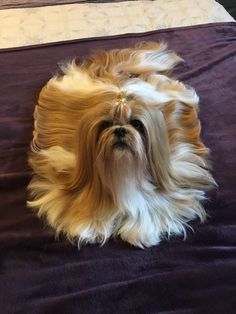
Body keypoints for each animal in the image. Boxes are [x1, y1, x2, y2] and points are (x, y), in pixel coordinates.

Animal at [28, 41, 216, 248]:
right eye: (106, 125)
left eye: (136, 124)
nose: (120, 130)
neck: (123, 169)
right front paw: (89, 227)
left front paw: (141, 232)